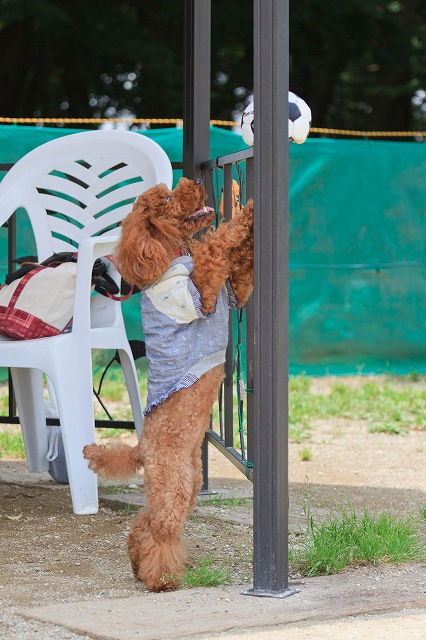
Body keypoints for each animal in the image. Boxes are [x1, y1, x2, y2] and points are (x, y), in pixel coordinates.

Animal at [85, 178, 255, 592]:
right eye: (166, 198)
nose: (196, 183)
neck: (170, 254)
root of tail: (140, 449)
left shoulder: (236, 291)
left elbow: (241, 274)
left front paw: (241, 206)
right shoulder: (201, 293)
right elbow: (216, 247)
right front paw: (245, 214)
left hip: (188, 480)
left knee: (145, 524)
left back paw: (137, 561)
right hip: (173, 480)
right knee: (161, 528)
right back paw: (160, 577)